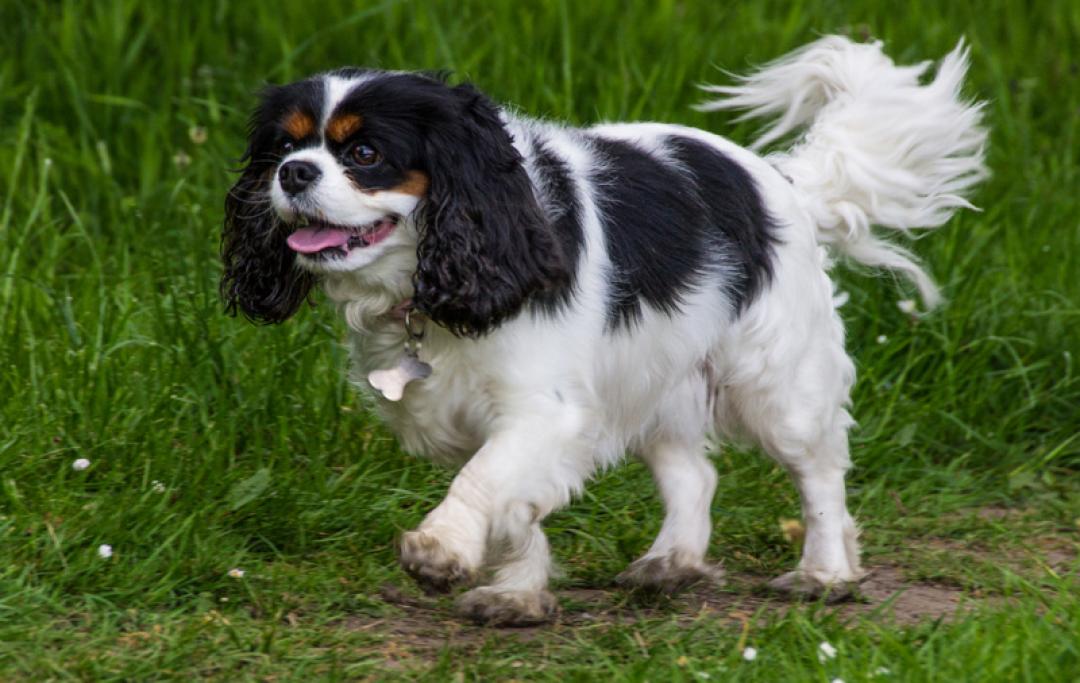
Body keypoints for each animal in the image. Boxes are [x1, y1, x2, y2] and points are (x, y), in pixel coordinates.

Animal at [219, 35, 989, 622]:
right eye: (283, 148)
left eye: (365, 155)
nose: (293, 173)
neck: (425, 283)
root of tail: (783, 181)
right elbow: (517, 503)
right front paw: (517, 594)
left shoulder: (544, 409)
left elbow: (483, 479)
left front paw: (441, 551)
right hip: (654, 377)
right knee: (694, 472)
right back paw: (672, 561)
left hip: (776, 384)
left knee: (820, 474)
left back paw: (824, 574)